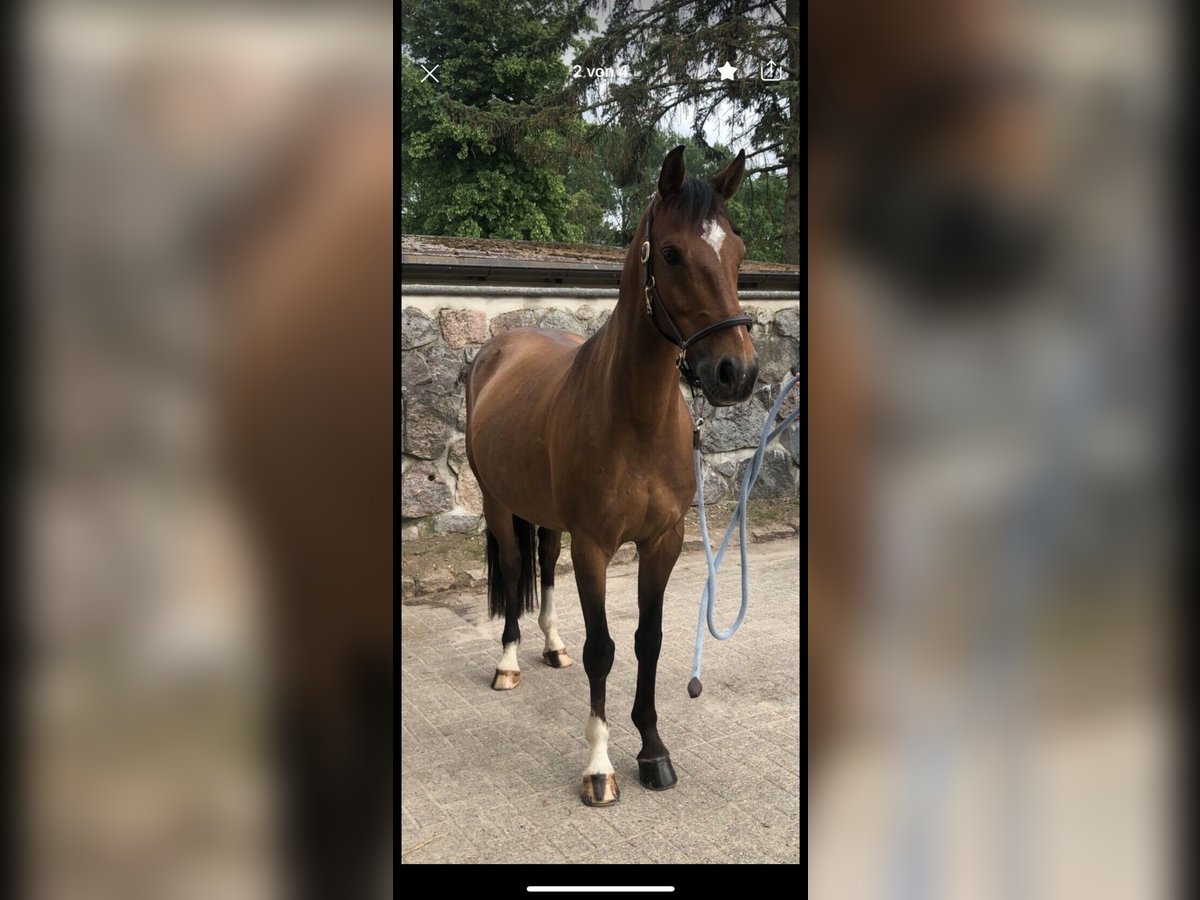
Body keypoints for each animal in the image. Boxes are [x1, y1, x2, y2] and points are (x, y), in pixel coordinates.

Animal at [463, 150, 753, 811]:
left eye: (738, 251)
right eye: (670, 253)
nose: (737, 372)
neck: (635, 417)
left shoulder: (663, 542)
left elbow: (648, 640)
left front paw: (653, 750)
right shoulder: (595, 546)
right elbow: (604, 649)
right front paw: (600, 767)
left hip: (544, 514)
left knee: (544, 563)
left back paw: (551, 645)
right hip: (497, 503)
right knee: (515, 568)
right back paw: (510, 662)